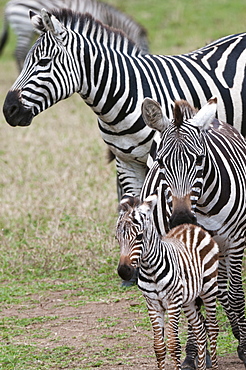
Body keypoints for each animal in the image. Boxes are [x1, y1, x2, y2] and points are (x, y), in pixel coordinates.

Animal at [117, 194, 219, 370]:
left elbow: (173, 344)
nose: (123, 271)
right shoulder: (152, 304)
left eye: (139, 236)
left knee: (212, 328)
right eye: (117, 238)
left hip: (209, 289)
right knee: (199, 329)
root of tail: (190, 226)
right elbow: (158, 346)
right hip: (188, 300)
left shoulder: (172, 302)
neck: (151, 271)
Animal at [140, 97, 246, 368]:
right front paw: (193, 353)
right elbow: (195, 300)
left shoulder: (236, 241)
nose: (181, 218)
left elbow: (236, 294)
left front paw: (244, 347)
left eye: (199, 159)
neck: (204, 207)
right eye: (162, 162)